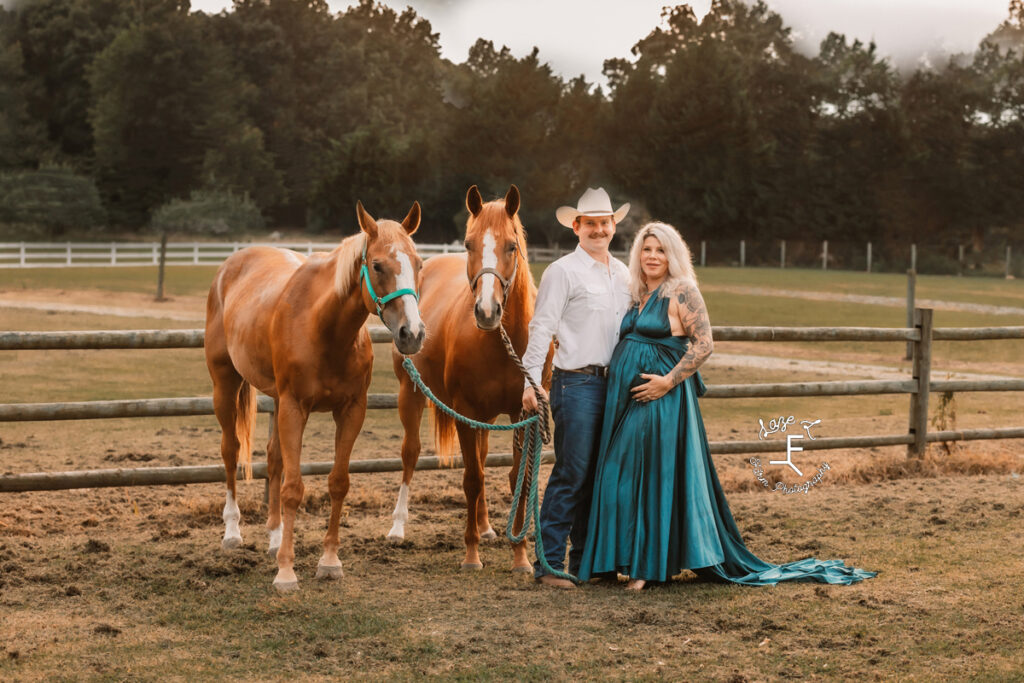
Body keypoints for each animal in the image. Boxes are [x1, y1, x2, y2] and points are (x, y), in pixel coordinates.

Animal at [205, 200, 421, 589]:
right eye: (377, 265)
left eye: (419, 264)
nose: (412, 333)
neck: (323, 326)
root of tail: (230, 265)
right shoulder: (295, 408)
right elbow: (293, 488)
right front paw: (286, 572)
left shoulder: (351, 411)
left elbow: (338, 483)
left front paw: (329, 561)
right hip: (225, 386)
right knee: (231, 451)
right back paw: (232, 533)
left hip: (276, 399)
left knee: (274, 458)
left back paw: (275, 536)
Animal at [385, 185, 548, 573]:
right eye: (469, 244)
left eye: (512, 246)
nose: (487, 312)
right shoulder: (464, 410)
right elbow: (472, 479)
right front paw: (471, 555)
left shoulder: (523, 414)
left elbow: (516, 477)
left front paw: (520, 556)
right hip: (410, 394)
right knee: (410, 453)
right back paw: (398, 527)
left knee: (484, 457)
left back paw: (487, 527)